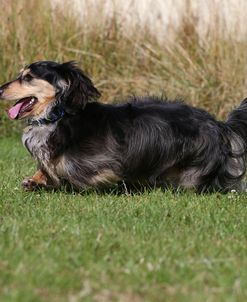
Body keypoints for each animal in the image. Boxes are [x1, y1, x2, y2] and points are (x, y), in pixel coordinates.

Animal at [0, 60, 246, 193]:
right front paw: (34, 181)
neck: (57, 116)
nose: (0, 89)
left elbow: (73, 174)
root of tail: (219, 125)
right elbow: (46, 169)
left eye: (28, 77)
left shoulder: (102, 165)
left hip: (190, 171)